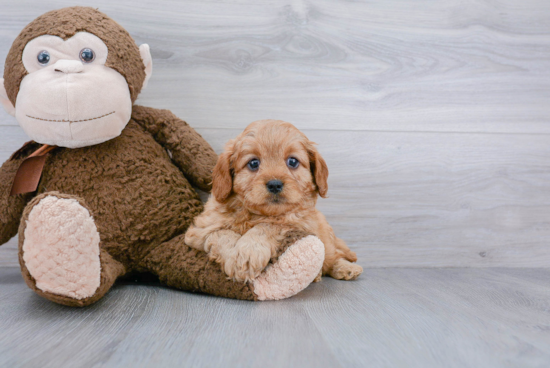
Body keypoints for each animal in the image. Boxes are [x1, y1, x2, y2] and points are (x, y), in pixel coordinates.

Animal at [185, 120, 364, 282]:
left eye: (293, 161)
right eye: (253, 163)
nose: (275, 184)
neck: (255, 214)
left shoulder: (299, 223)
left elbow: (269, 225)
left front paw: (249, 251)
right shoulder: (199, 231)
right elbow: (221, 234)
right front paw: (237, 259)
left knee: (332, 256)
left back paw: (345, 268)